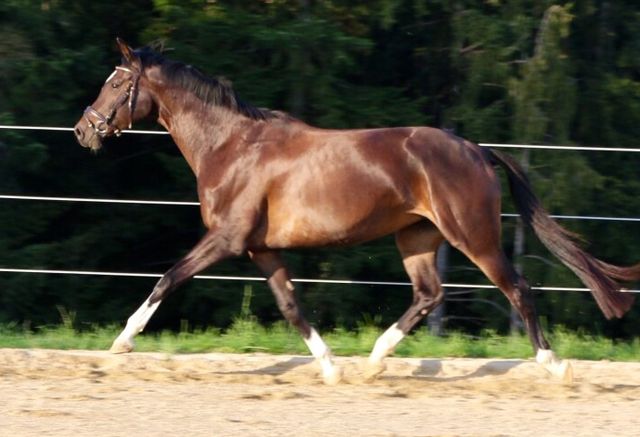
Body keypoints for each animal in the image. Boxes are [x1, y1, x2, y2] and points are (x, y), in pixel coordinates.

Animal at [74, 39, 636, 384]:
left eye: (115, 81)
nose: (84, 130)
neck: (230, 146)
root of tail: (475, 148)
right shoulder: (262, 249)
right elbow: (292, 306)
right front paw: (331, 369)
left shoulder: (227, 240)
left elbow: (168, 278)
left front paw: (121, 342)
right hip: (416, 238)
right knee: (428, 295)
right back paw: (373, 361)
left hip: (473, 237)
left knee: (516, 288)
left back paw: (554, 365)